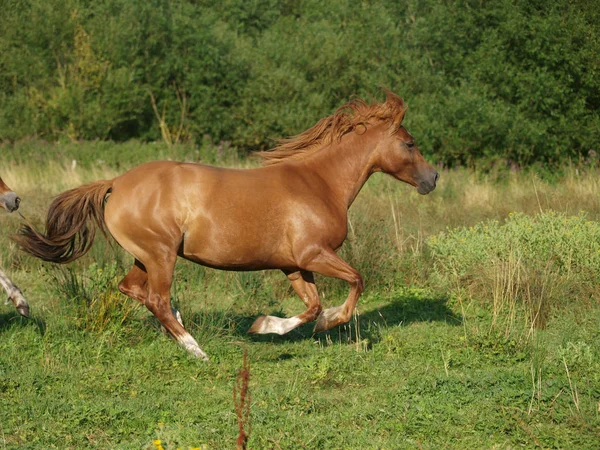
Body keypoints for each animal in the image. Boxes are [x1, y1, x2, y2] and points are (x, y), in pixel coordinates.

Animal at [12, 90, 436, 358]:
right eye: (410, 143)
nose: (432, 179)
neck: (319, 182)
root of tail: (115, 183)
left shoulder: (294, 264)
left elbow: (313, 305)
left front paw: (266, 326)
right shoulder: (314, 254)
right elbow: (355, 282)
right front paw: (326, 323)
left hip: (145, 256)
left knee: (132, 290)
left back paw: (181, 328)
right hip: (161, 255)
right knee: (156, 298)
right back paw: (195, 349)